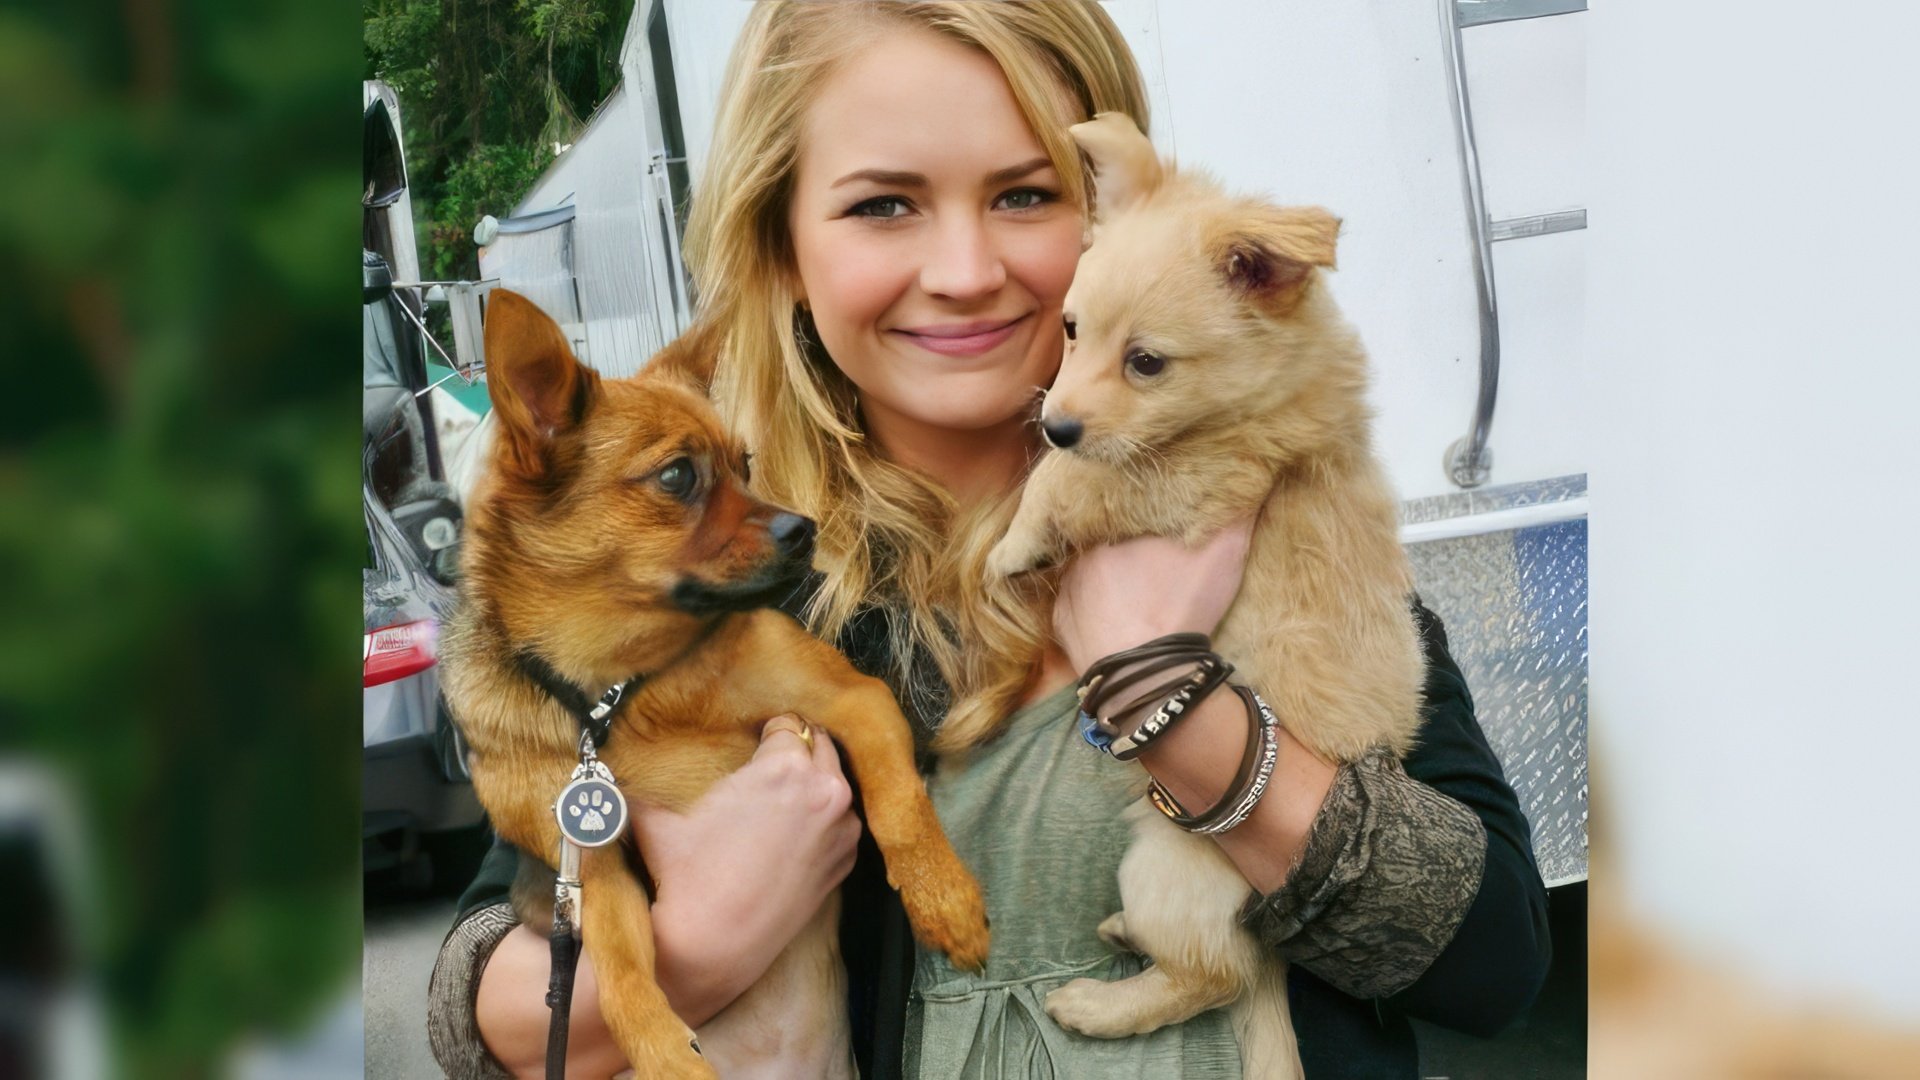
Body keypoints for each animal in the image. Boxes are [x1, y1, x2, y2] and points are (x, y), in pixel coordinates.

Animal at [441, 292, 990, 1076]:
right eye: (677, 476)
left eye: (746, 464)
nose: (805, 530)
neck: (624, 689)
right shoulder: (594, 872)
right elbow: (619, 973)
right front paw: (666, 1053)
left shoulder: (855, 702)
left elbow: (899, 804)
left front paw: (942, 897)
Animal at [990, 113, 1428, 1068]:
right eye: (1070, 329)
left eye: (1147, 363)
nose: (1055, 422)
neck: (1247, 407)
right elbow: (1073, 471)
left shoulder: (1193, 484)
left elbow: (1074, 479)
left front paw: (1014, 540)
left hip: (1164, 866)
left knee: (1209, 975)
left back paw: (1095, 1005)